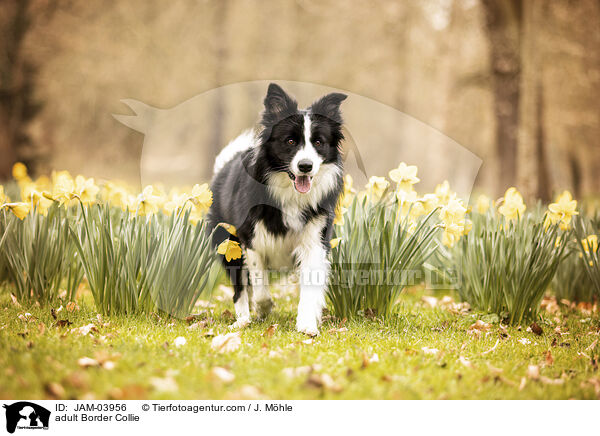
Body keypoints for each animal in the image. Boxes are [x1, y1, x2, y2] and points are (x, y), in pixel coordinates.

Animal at [207, 83, 344, 336]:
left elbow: (310, 287)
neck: (290, 194)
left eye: (318, 143)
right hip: (229, 243)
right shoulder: (250, 239)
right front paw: (263, 309)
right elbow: (260, 285)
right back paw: (242, 319)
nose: (305, 166)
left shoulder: (315, 240)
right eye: (290, 141)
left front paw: (307, 324)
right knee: (240, 288)